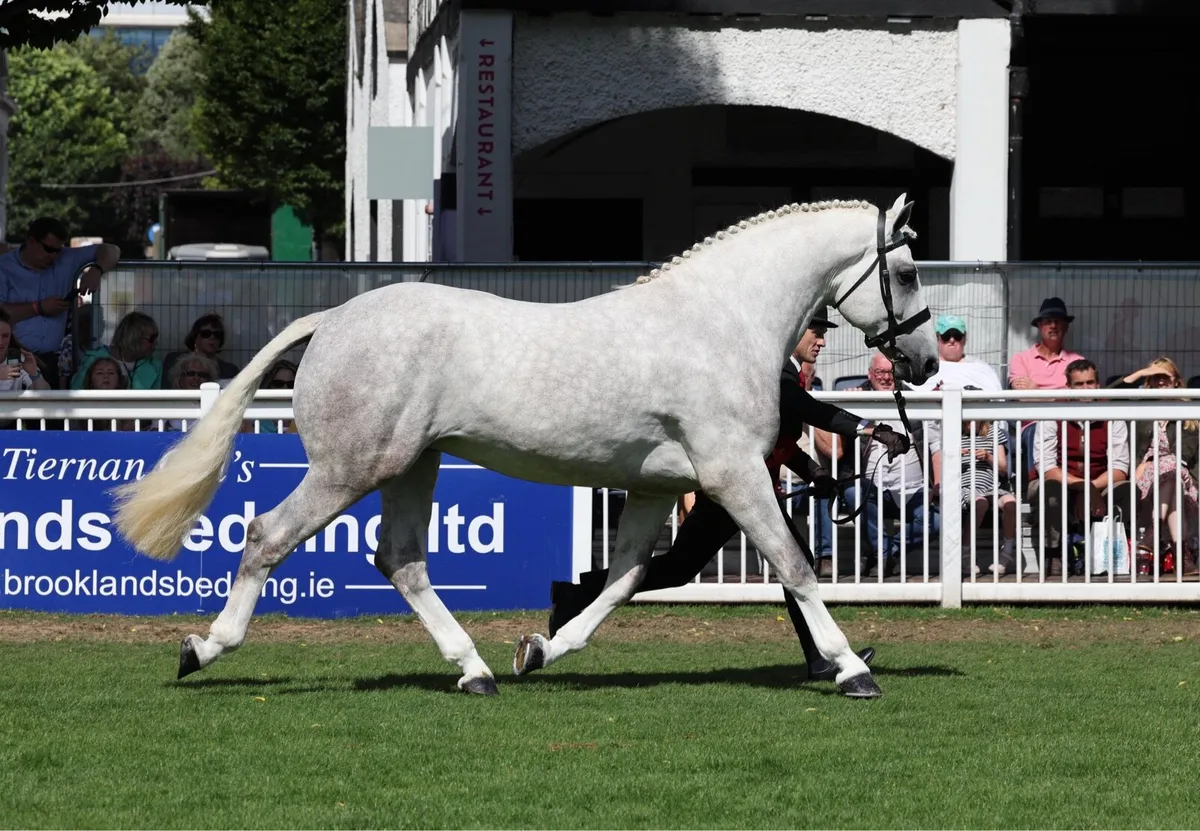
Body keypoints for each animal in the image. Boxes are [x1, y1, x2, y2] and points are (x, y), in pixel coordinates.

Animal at [112, 194, 938, 698]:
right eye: (903, 270)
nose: (926, 362)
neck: (719, 321)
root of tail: (334, 319)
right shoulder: (733, 474)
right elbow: (795, 565)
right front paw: (851, 669)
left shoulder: (656, 486)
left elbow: (623, 578)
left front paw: (539, 648)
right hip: (350, 468)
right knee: (267, 536)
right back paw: (202, 648)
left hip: (412, 465)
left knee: (401, 559)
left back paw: (475, 669)